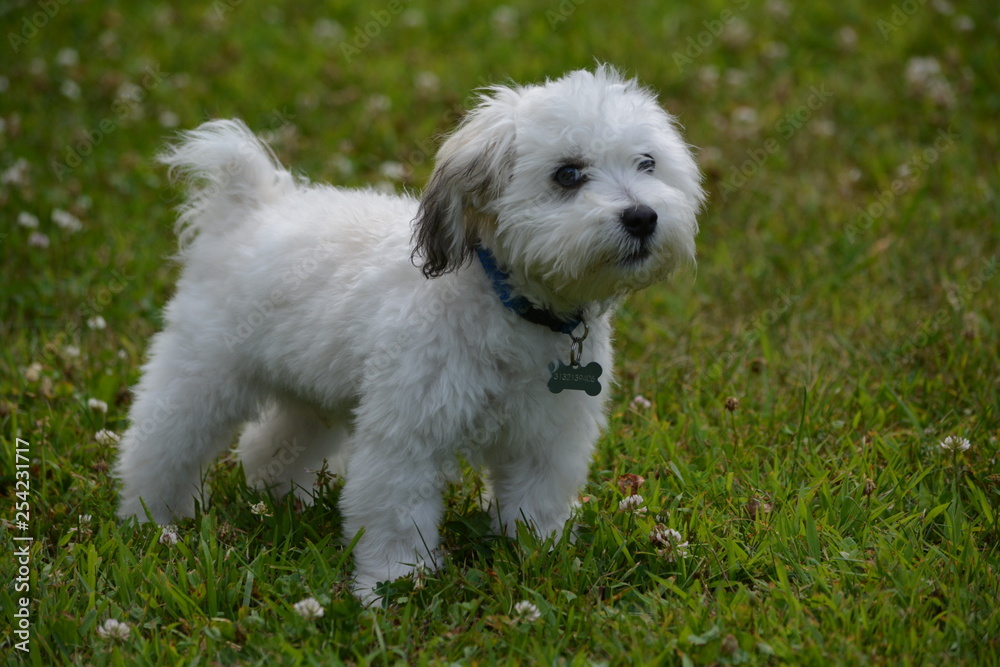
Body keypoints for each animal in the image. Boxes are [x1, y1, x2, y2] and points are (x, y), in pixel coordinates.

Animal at [117, 66, 708, 600]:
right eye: (567, 174)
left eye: (648, 163)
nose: (642, 217)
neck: (507, 303)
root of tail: (249, 206)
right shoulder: (409, 435)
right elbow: (397, 515)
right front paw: (395, 582)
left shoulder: (547, 435)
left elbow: (535, 501)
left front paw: (538, 555)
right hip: (202, 373)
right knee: (159, 445)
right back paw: (151, 518)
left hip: (313, 391)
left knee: (270, 443)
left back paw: (283, 500)